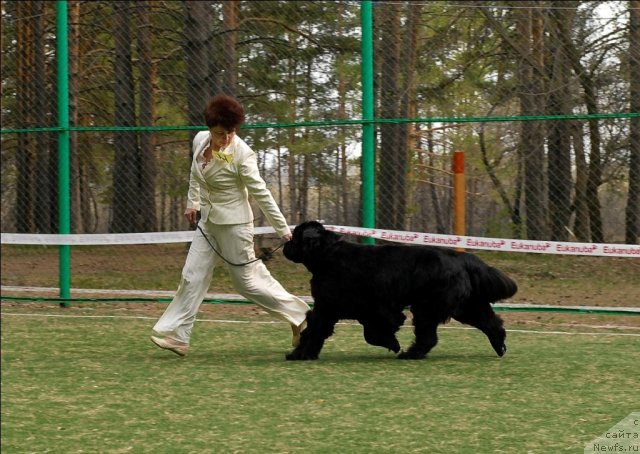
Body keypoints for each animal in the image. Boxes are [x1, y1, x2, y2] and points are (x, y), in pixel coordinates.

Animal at [282, 222, 516, 360]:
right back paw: (500, 346)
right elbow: (316, 329)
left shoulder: (361, 308)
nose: (285, 245)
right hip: (467, 306)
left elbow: (370, 332)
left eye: (295, 237)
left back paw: (410, 354)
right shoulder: (330, 308)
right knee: (491, 323)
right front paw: (301, 353)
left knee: (428, 337)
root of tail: (460, 257)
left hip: (429, 307)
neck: (326, 255)